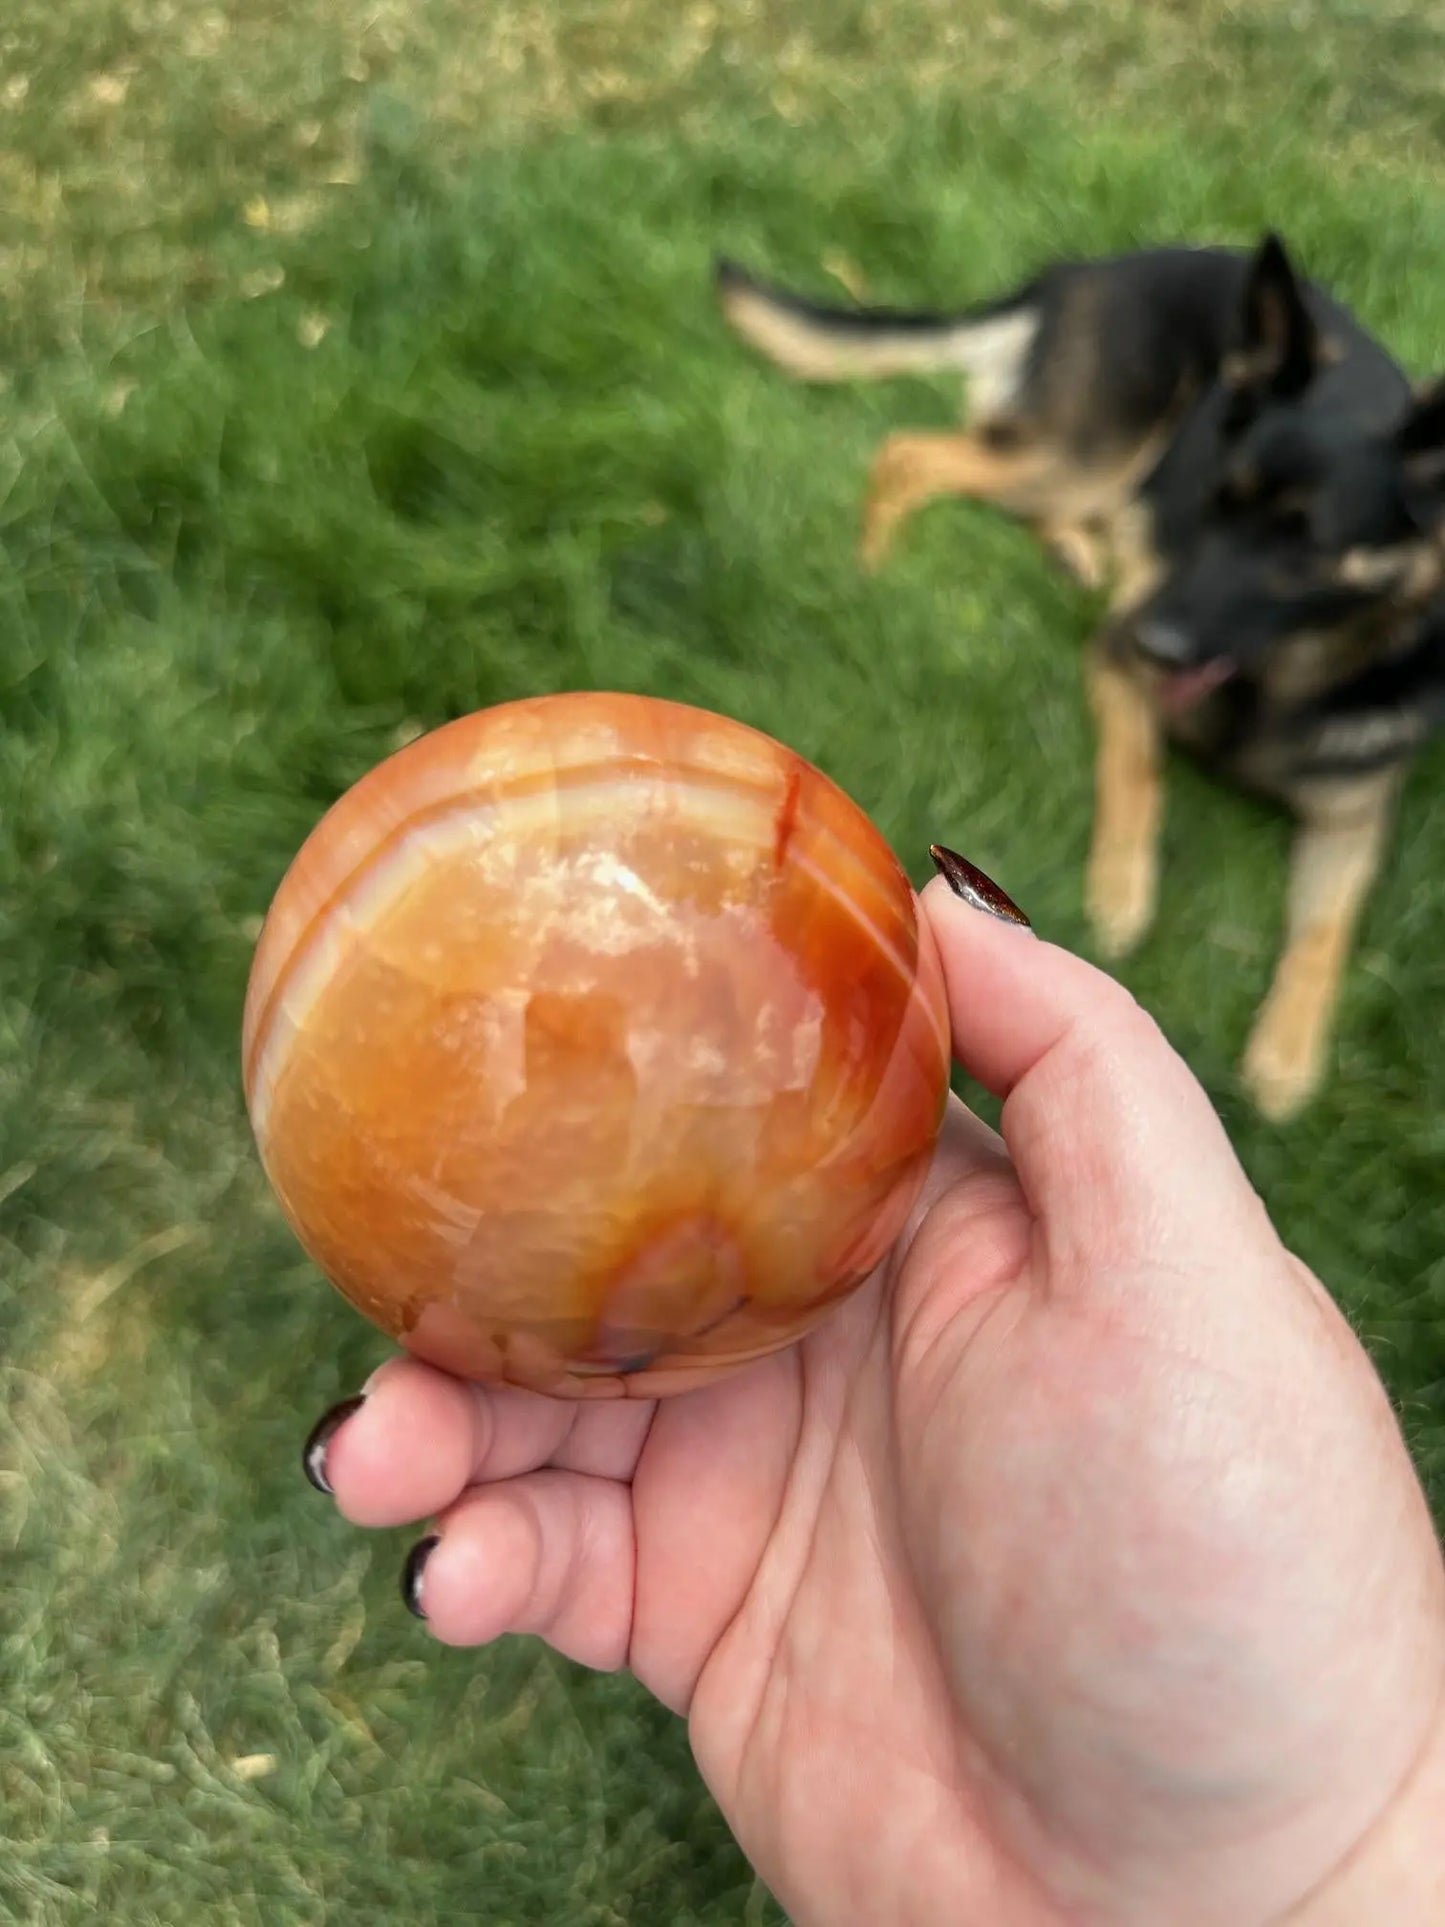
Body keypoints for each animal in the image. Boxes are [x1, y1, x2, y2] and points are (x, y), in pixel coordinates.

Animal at [716, 233, 1445, 1125]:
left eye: (1304, 544)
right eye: (1215, 502)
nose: (1152, 640)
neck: (1273, 681)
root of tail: (1081, 272)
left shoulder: (1355, 810)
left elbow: (1325, 928)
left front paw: (1285, 1054)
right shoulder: (1121, 664)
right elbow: (1136, 769)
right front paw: (1121, 891)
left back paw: (1075, 551)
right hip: (1090, 452)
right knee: (912, 454)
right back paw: (872, 564)